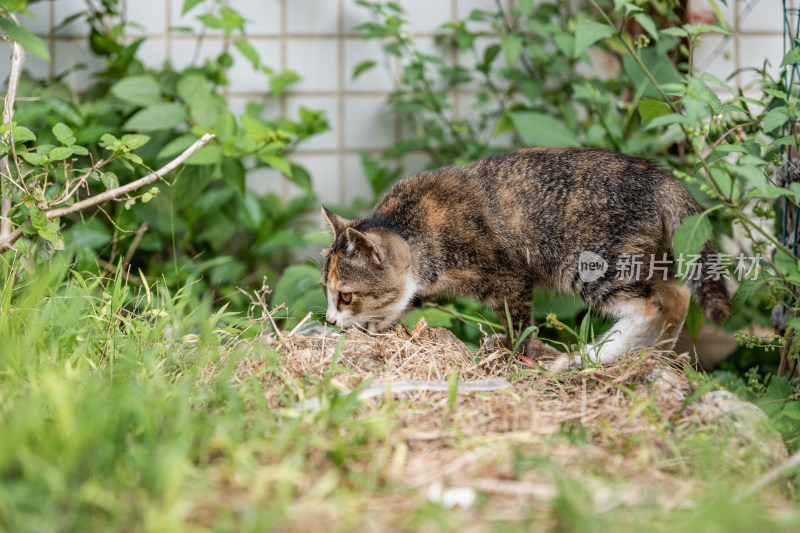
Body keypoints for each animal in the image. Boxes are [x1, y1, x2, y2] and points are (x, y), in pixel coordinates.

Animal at [320, 148, 732, 364]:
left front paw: (512, 351)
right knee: (677, 294)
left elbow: (518, 324)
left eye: (346, 296)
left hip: (590, 264)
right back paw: (650, 356)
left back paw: (588, 358)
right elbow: (403, 303)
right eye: (327, 292)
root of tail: (661, 177)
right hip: (641, 258)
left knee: (648, 305)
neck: (412, 224)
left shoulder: (510, 277)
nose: (328, 319)